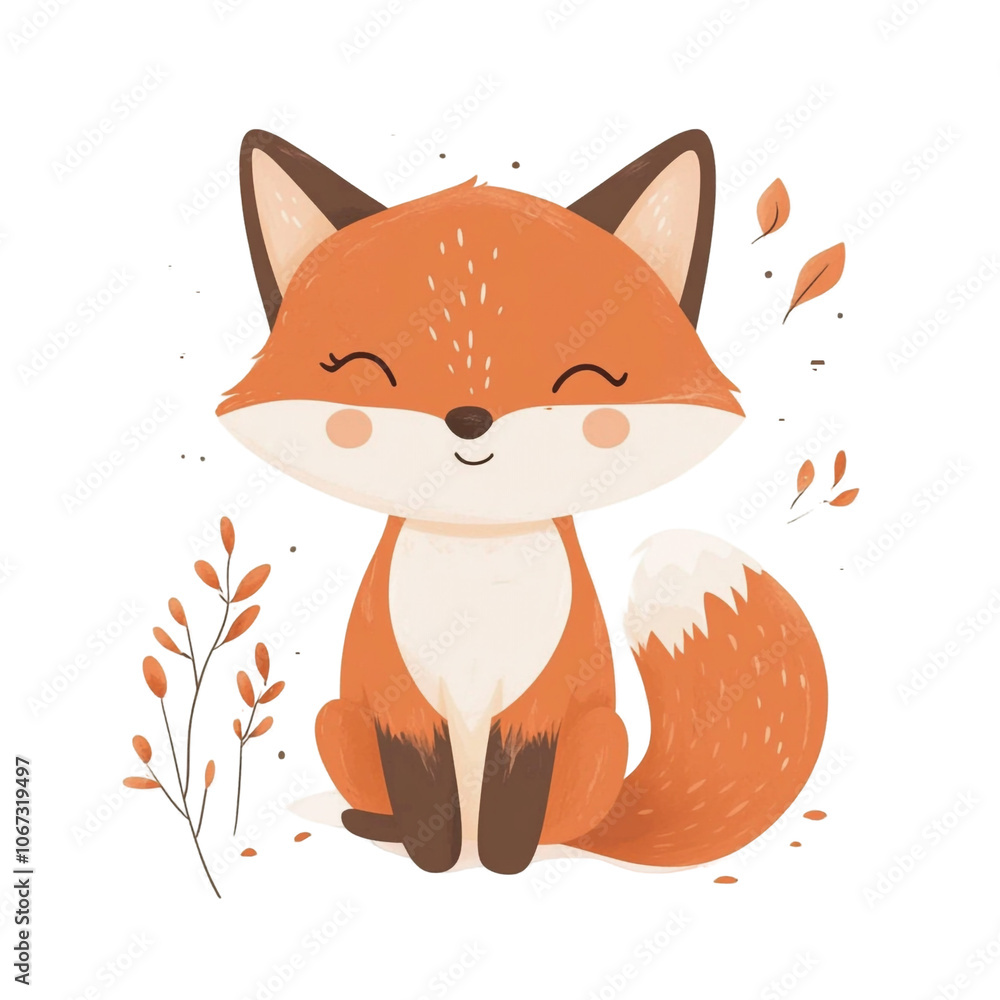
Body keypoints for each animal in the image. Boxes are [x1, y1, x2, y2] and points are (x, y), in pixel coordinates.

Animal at [217, 128, 827, 875]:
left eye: (584, 375)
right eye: (368, 370)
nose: (470, 418)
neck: (478, 561)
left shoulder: (542, 703)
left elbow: (517, 794)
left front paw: (505, 863)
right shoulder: (399, 699)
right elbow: (424, 796)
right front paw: (437, 860)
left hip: (603, 737)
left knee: (565, 823)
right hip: (336, 720)